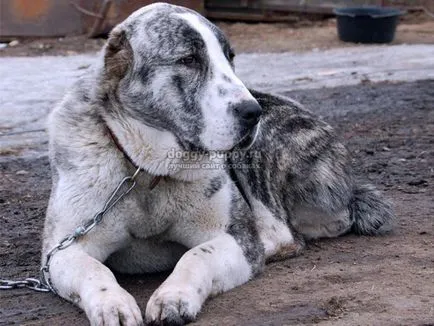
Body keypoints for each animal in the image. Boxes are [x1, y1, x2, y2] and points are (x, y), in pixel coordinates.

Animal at [42, 3, 396, 326]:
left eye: (230, 57)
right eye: (189, 59)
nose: (252, 112)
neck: (149, 172)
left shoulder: (232, 237)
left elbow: (196, 256)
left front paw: (174, 296)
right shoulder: (63, 250)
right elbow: (93, 270)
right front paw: (112, 305)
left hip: (261, 149)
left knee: (287, 232)